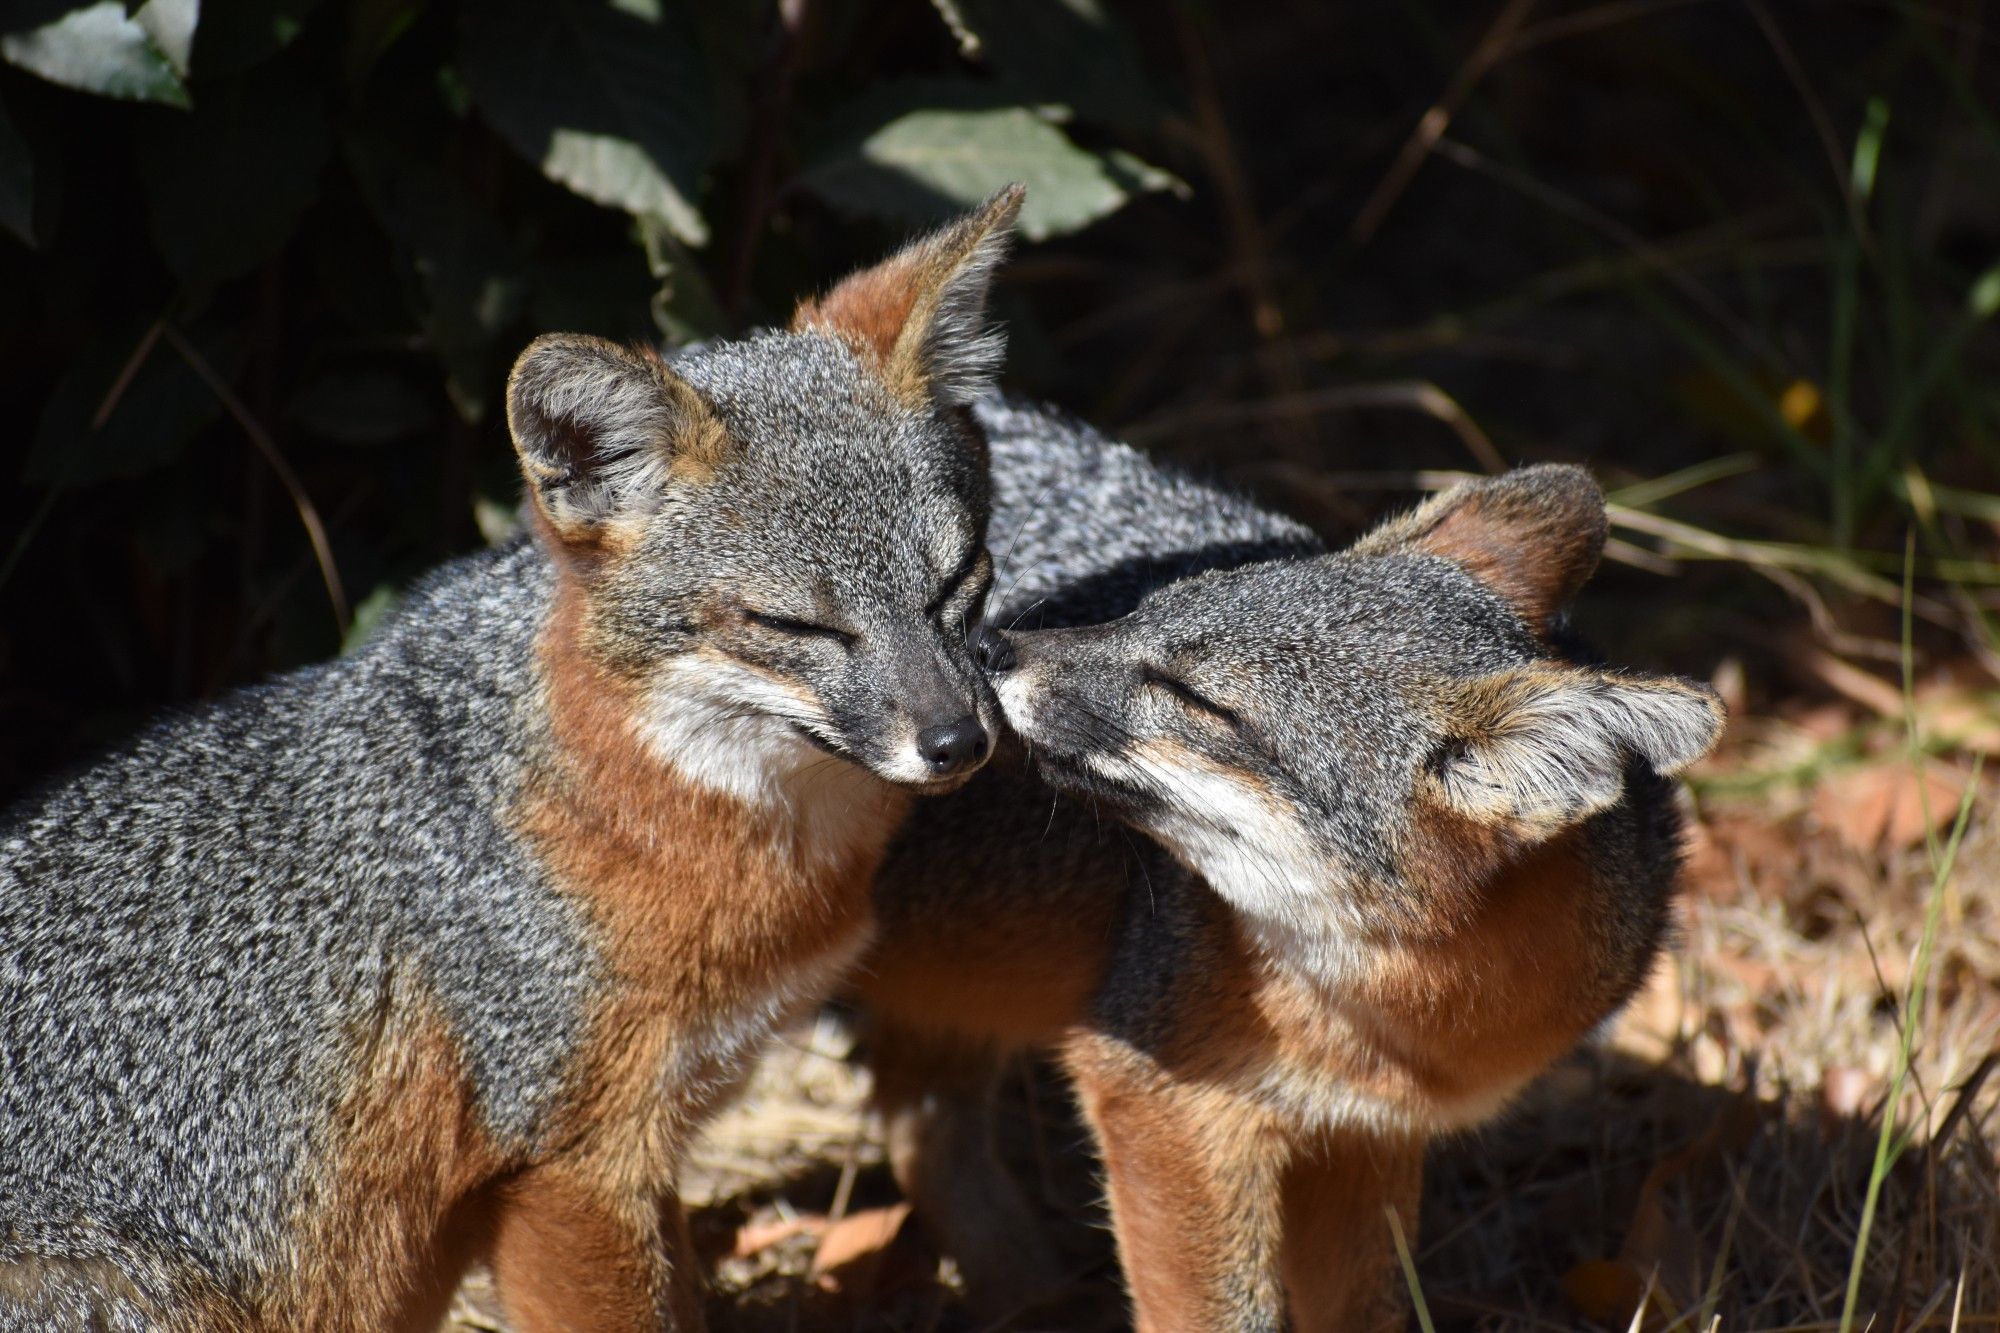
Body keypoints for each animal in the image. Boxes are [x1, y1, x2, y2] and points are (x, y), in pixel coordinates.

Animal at [852, 410, 1728, 1320]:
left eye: (1197, 697)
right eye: (1138, 609)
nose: (986, 645)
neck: (1399, 1026)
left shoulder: (1364, 1134)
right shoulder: (1161, 1099)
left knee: (916, 1113)